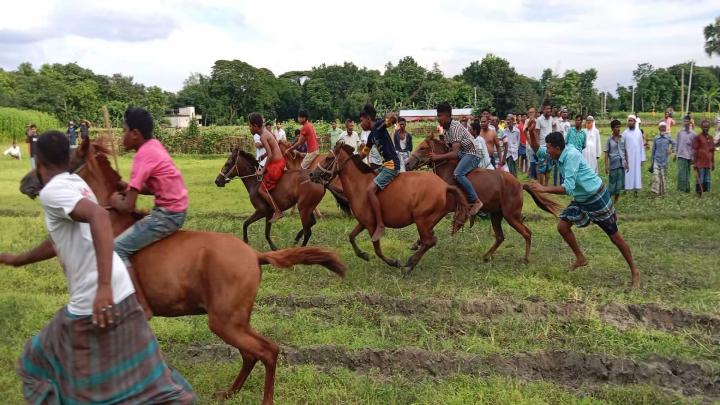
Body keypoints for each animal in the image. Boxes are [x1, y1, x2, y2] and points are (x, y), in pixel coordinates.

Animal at [21, 140, 348, 404]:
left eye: (56, 156)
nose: (25, 182)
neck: (111, 225)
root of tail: (255, 256)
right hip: (234, 318)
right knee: (251, 353)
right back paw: (230, 391)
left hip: (224, 320)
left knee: (267, 350)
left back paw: (264, 398)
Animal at [310, 144, 472, 274]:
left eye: (328, 158)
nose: (312, 174)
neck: (359, 185)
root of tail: (445, 186)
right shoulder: (363, 222)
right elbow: (351, 237)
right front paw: (363, 254)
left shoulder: (372, 226)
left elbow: (377, 250)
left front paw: (394, 262)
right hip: (429, 222)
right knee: (429, 240)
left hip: (422, 221)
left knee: (429, 241)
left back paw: (409, 265)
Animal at [404, 133, 564, 262]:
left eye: (423, 148)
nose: (406, 164)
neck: (448, 173)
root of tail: (519, 184)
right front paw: (417, 243)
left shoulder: (445, 208)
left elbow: (431, 224)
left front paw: (420, 242)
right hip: (496, 215)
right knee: (500, 237)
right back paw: (487, 256)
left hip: (511, 215)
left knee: (527, 233)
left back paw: (525, 258)